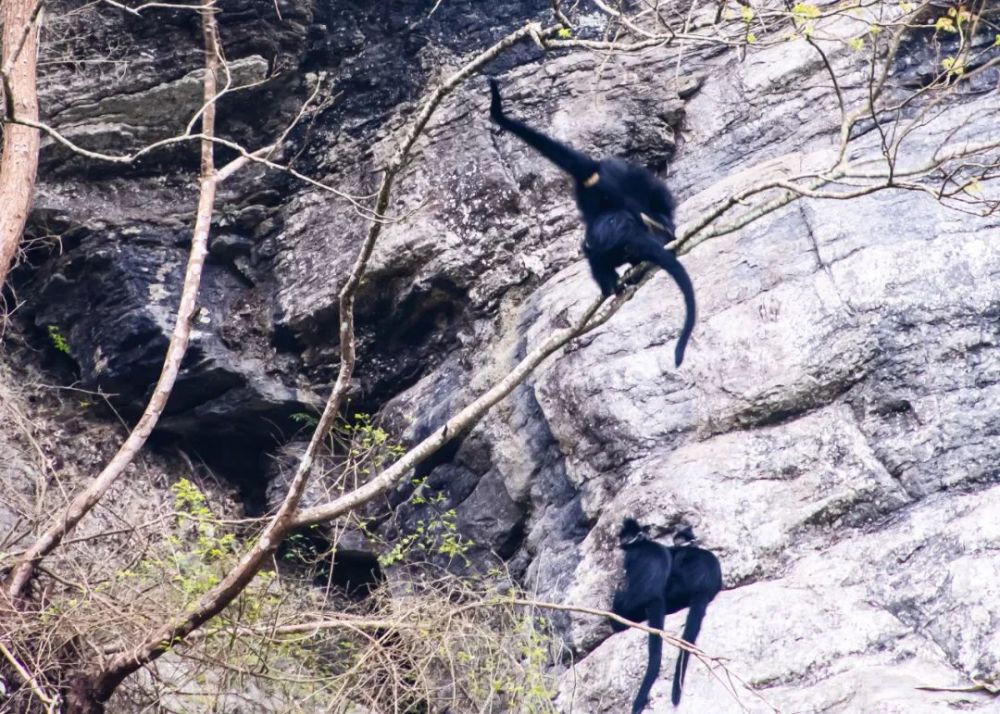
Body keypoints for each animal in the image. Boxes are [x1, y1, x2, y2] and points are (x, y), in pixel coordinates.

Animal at [608, 516, 672, 708]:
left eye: (626, 536)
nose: (621, 542)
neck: (643, 542)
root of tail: (655, 596)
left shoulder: (630, 556)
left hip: (630, 604)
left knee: (620, 597)